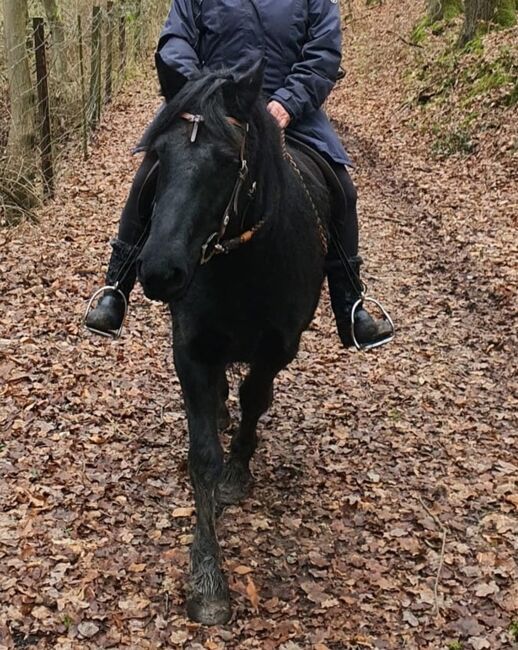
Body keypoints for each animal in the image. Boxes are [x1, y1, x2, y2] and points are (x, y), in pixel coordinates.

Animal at [136, 64, 336, 624]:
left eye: (228, 162)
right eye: (159, 155)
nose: (160, 271)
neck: (241, 266)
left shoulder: (277, 348)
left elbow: (255, 400)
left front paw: (237, 471)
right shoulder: (191, 351)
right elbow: (202, 453)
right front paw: (207, 575)